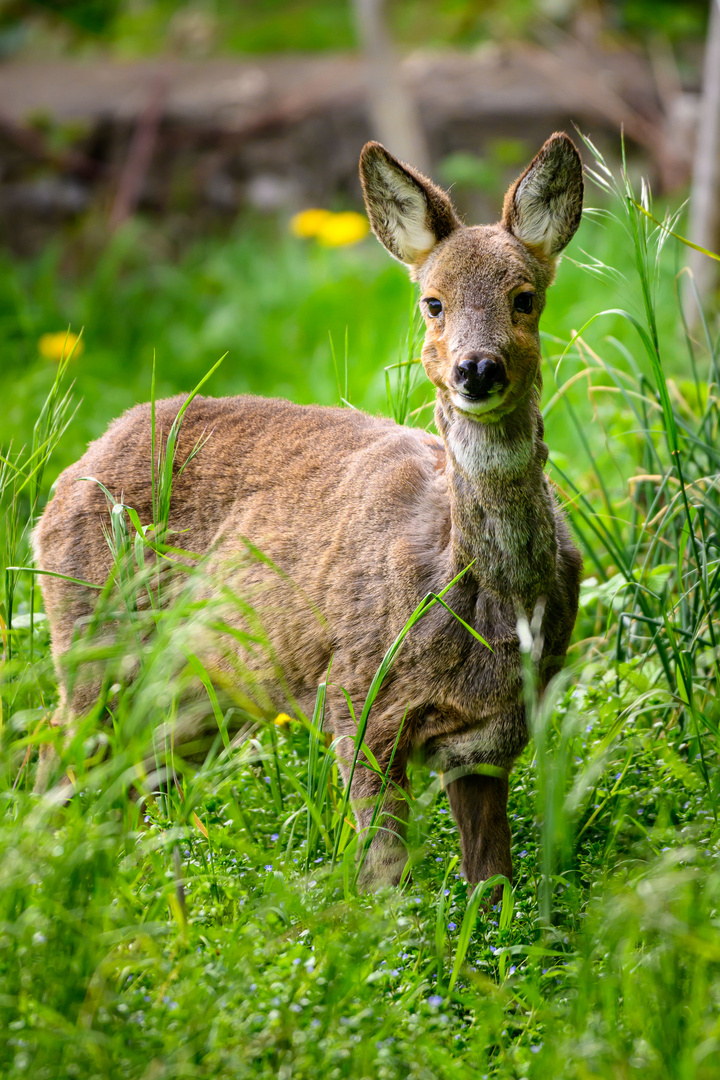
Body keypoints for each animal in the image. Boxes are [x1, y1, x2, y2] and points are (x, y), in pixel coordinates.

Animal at [35, 132, 587, 894]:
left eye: (525, 298)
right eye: (433, 302)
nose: (477, 370)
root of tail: (66, 479)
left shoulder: (491, 737)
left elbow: (491, 885)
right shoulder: (358, 699)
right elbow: (385, 879)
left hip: (198, 690)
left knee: (136, 779)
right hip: (95, 638)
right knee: (59, 757)